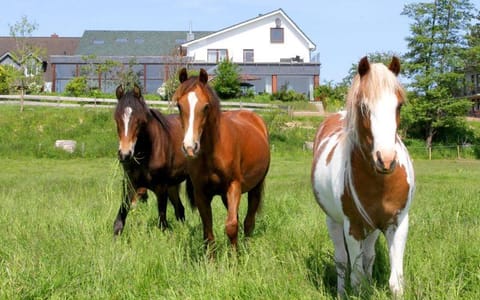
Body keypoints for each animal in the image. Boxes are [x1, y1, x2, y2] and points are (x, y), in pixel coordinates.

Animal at [112, 84, 193, 234]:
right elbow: (120, 220)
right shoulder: (130, 184)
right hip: (173, 184)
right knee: (180, 209)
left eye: (139, 120)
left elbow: (162, 222)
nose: (125, 154)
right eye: (117, 119)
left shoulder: (161, 187)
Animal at [172, 68, 270, 248]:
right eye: (179, 106)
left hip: (255, 187)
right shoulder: (201, 193)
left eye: (205, 106)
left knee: (249, 221)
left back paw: (246, 246)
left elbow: (231, 226)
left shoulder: (233, 187)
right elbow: (208, 231)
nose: (190, 147)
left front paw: (234, 255)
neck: (212, 153)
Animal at [312, 56, 416, 298]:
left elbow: (395, 282)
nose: (386, 160)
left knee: (368, 257)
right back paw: (341, 292)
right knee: (341, 262)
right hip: (334, 221)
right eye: (363, 107)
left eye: (399, 105)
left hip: (373, 229)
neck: (380, 183)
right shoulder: (354, 227)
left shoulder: (398, 224)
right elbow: (356, 280)